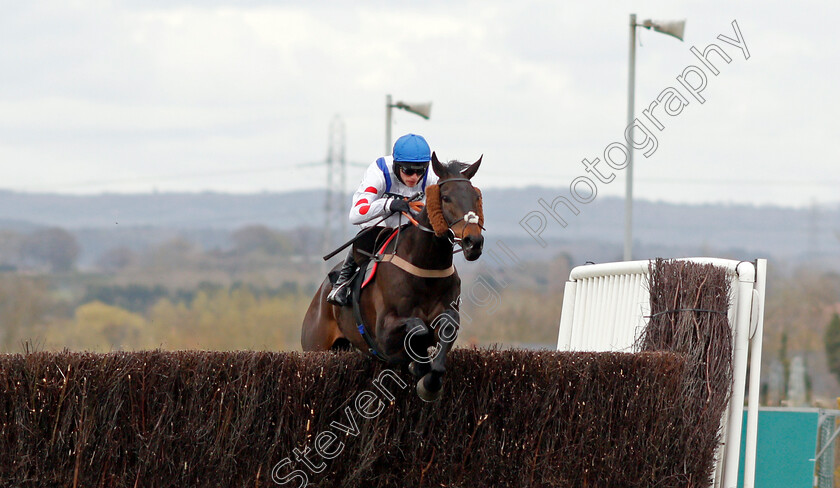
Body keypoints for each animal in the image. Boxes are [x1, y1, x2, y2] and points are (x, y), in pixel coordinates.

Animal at [302, 152, 486, 400]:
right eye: (446, 197)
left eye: (477, 196)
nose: (473, 242)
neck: (425, 269)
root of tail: (320, 295)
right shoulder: (384, 334)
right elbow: (418, 328)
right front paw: (418, 364)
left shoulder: (447, 312)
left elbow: (447, 326)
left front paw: (429, 382)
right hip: (315, 346)